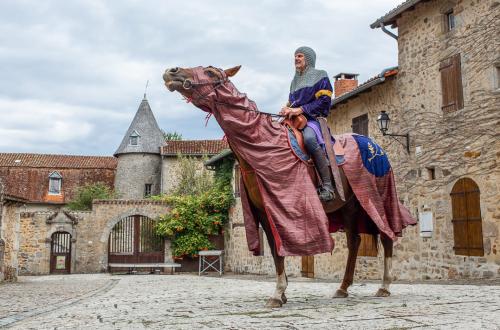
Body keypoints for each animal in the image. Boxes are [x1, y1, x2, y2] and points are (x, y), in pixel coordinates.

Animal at [163, 65, 414, 308]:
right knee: (354, 241)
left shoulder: (283, 208)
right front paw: (281, 293)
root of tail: (375, 146)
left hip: (377, 199)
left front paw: (278, 293)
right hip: (350, 207)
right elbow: (276, 250)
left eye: (210, 72)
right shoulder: (265, 212)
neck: (265, 145)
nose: (171, 72)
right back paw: (343, 288)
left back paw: (384, 286)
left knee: (387, 235)